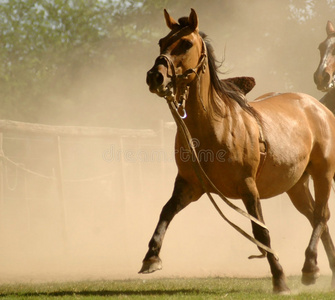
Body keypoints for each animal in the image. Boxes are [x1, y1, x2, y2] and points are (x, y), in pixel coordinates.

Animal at [140, 8, 335, 292]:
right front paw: (151, 257)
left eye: (186, 43)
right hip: (296, 185)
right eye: (161, 42)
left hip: (323, 174)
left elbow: (261, 232)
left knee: (321, 215)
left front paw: (280, 279)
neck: (214, 125)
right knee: (317, 218)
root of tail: (319, 107)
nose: (155, 76)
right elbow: (166, 211)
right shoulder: (189, 184)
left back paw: (309, 267)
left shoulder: (247, 186)